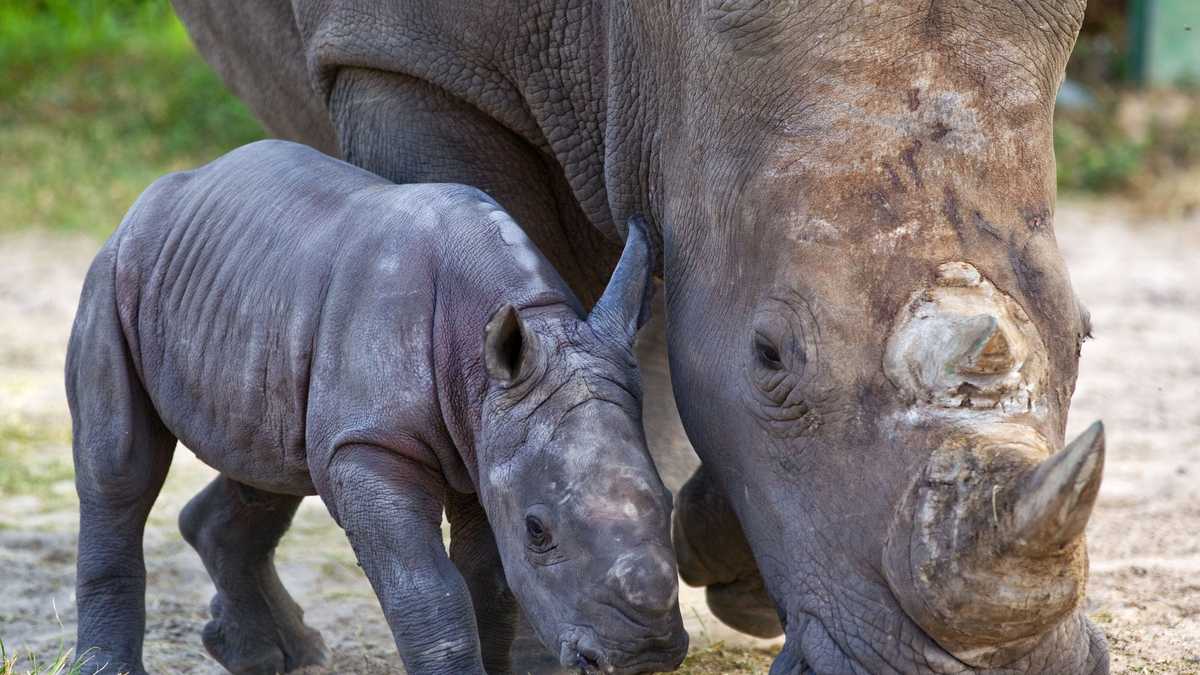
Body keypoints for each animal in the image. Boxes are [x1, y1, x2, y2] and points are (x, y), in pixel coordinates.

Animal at [68, 139, 686, 672]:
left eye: (669, 503)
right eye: (538, 530)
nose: (645, 655)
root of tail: (166, 191)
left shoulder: (488, 436)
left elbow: (490, 585)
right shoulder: (369, 443)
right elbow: (429, 587)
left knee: (267, 466)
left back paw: (281, 656)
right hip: (115, 269)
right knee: (119, 468)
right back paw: (112, 666)